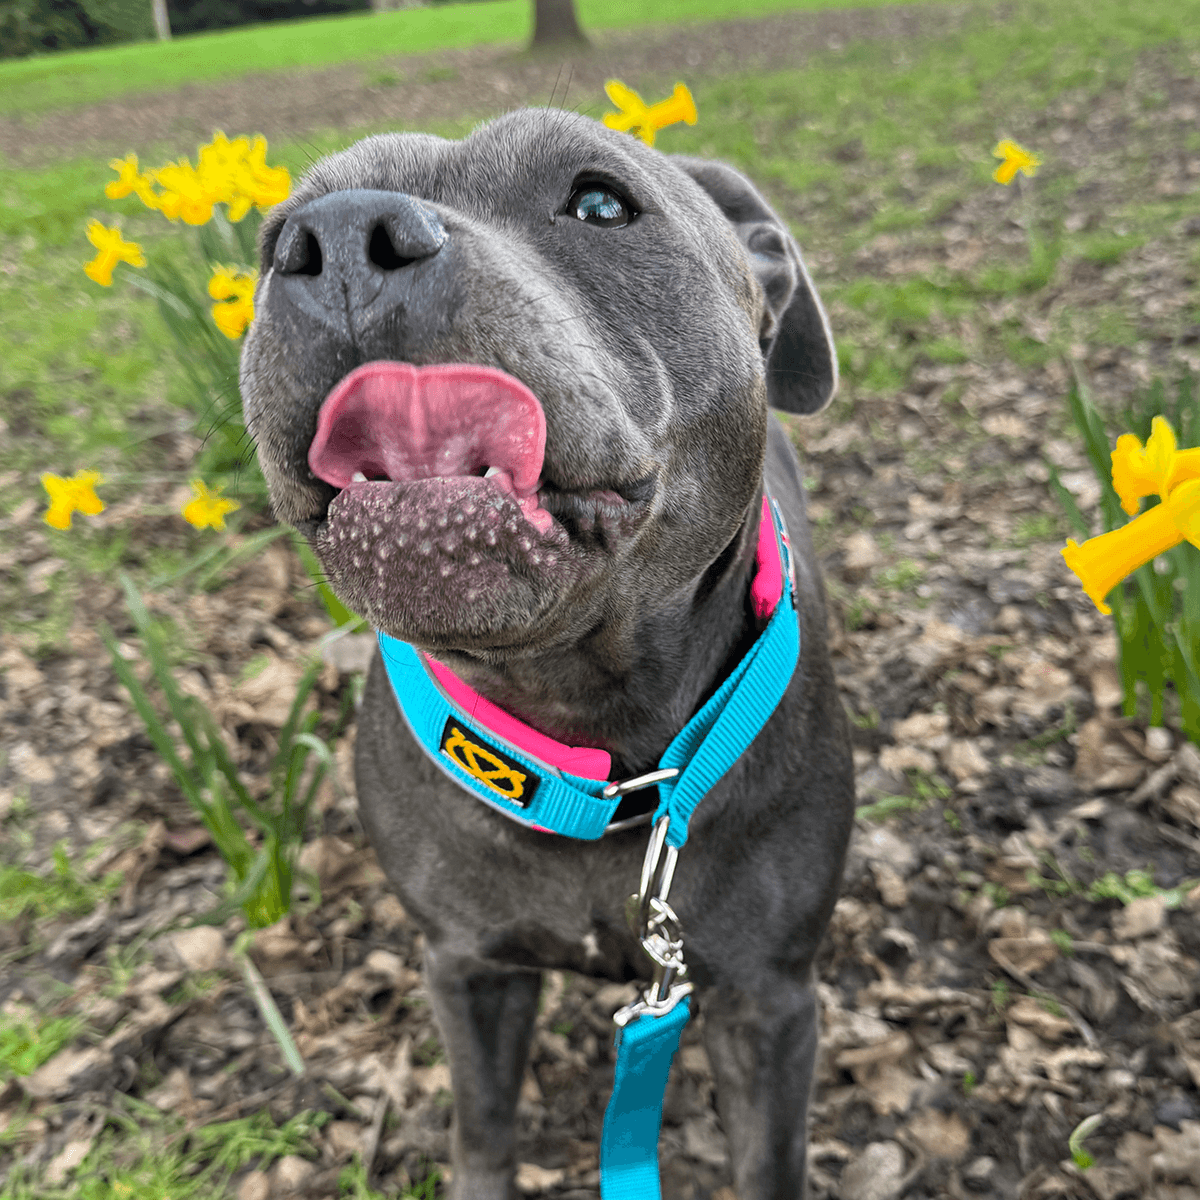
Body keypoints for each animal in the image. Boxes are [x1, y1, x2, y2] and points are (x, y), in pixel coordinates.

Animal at [241, 108, 854, 1195]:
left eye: (601, 202)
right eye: (278, 236)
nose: (340, 237)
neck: (585, 721)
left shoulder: (769, 1002)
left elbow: (768, 1160)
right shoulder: (469, 966)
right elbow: (484, 1128)